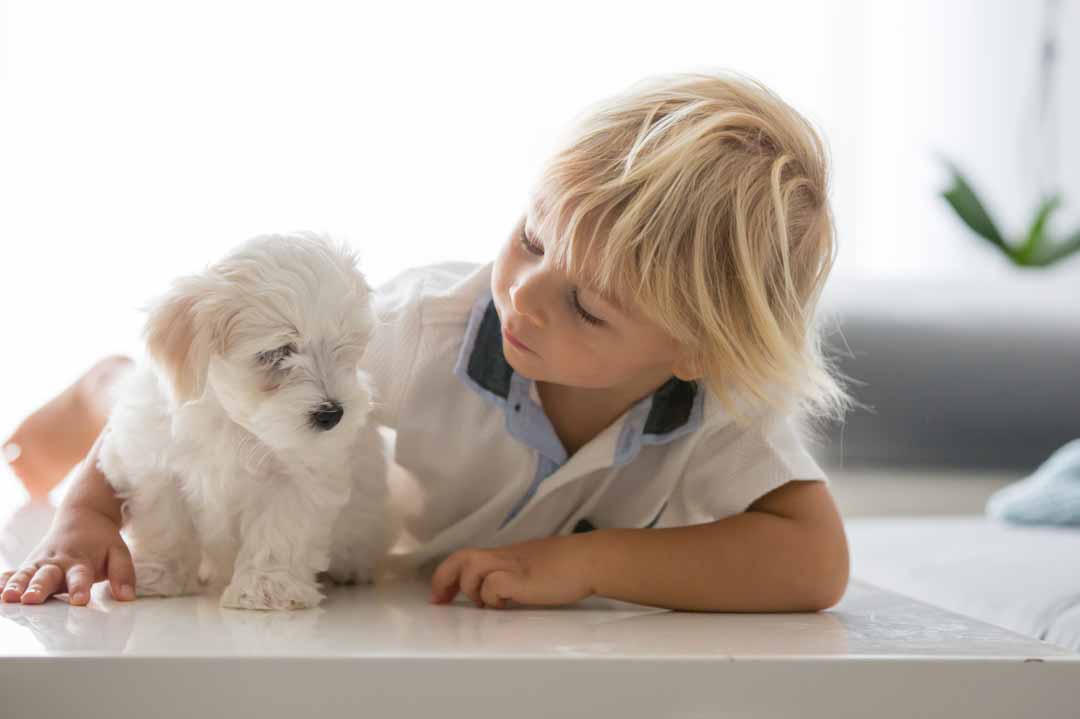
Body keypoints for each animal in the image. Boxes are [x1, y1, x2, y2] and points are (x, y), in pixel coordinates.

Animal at [98, 232, 397, 608]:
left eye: (343, 347)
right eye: (276, 353)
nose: (332, 414)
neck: (232, 421)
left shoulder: (298, 478)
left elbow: (279, 532)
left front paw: (267, 588)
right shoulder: (153, 463)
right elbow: (164, 522)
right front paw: (159, 575)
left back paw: (352, 569)